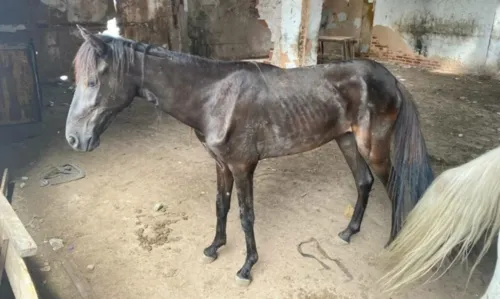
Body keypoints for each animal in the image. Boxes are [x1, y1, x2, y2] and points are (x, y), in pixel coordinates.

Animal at [65, 25, 434, 286]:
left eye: (94, 81)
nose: (73, 138)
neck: (214, 96)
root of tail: (391, 79)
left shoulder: (244, 166)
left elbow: (246, 215)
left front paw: (246, 267)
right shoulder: (221, 164)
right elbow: (221, 206)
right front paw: (214, 248)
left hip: (374, 147)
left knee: (394, 186)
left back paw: (393, 245)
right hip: (346, 141)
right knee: (363, 181)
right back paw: (348, 232)